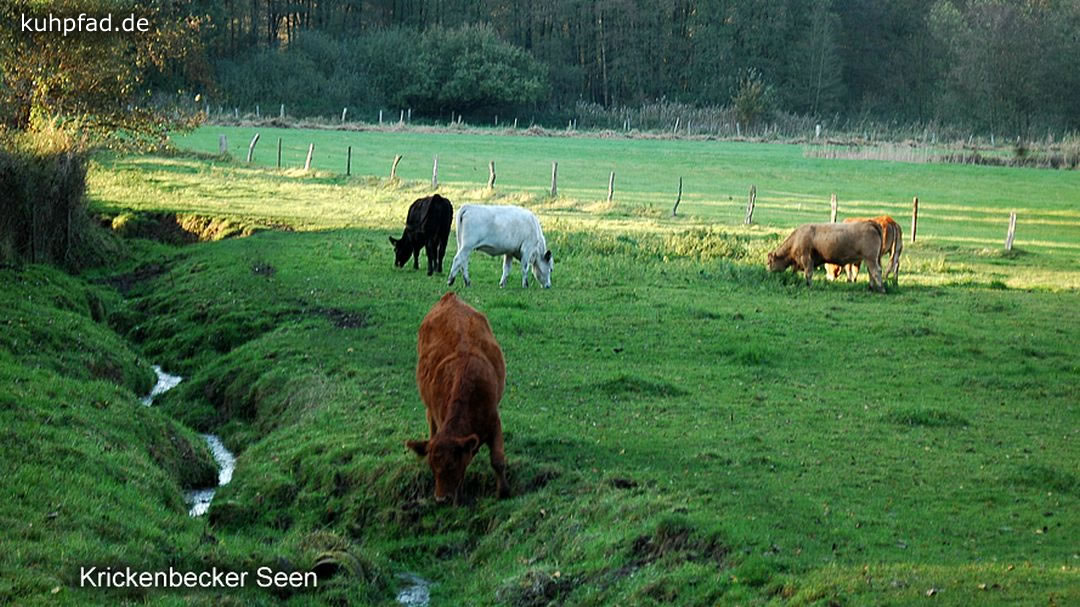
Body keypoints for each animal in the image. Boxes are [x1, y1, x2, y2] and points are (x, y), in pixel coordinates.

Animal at [406, 292, 509, 504]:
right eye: (432, 467)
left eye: (452, 465)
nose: (440, 498)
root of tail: (450, 297)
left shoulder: (494, 421)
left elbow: (497, 460)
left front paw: (503, 492)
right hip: (429, 408)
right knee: (431, 424)